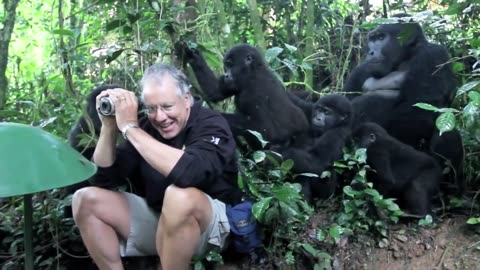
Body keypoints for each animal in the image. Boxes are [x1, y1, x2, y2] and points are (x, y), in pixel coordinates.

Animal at [176, 43, 308, 148]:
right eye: (226, 65)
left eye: (231, 65)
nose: (226, 75)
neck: (253, 71)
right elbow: (215, 91)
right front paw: (193, 56)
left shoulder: (254, 92)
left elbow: (266, 131)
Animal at [344, 14, 456, 148]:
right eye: (372, 39)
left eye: (381, 37)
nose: (370, 52)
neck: (408, 54)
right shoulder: (361, 69)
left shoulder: (433, 54)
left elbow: (420, 112)